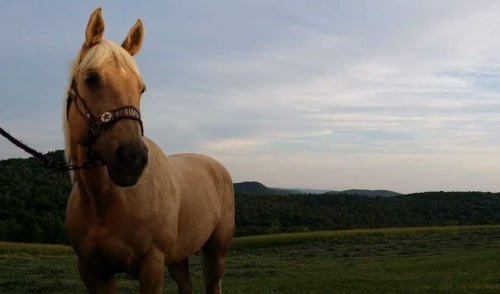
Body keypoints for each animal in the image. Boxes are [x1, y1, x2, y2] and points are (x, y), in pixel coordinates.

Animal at [63, 8, 235, 292]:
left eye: (141, 88)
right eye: (91, 78)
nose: (131, 160)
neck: (105, 203)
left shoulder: (152, 265)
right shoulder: (92, 271)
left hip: (215, 252)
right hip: (178, 257)